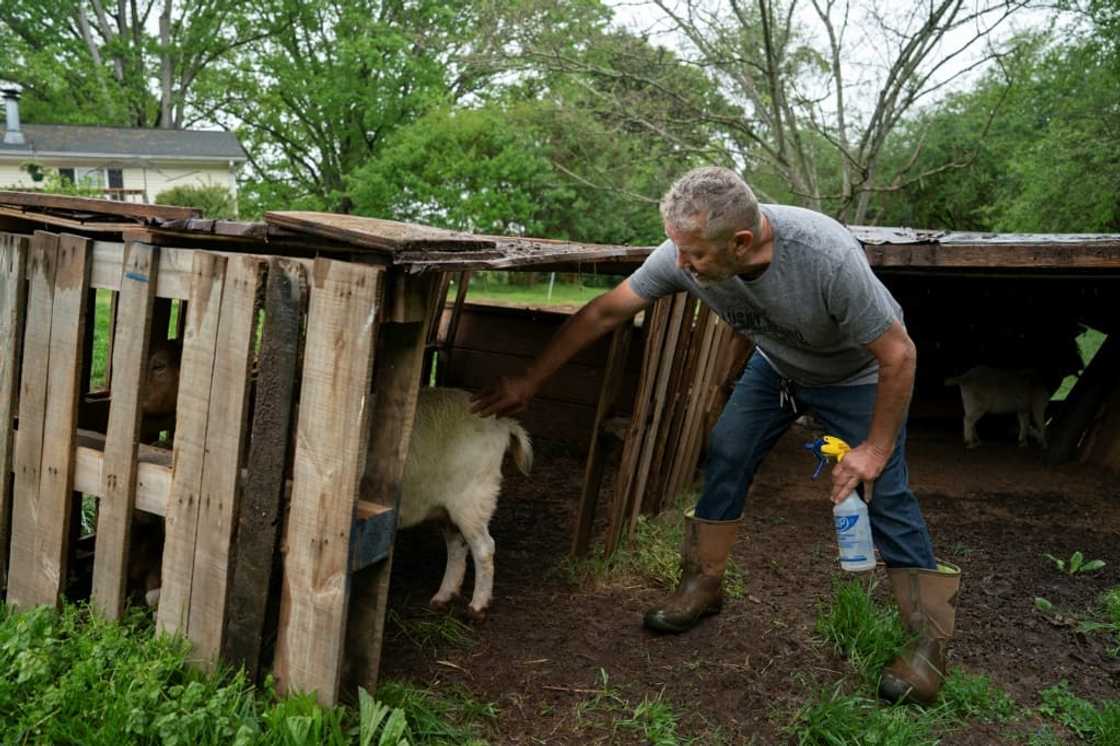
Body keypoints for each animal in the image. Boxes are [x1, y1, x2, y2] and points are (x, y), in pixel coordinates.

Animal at [396, 385, 530, 618]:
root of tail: (501, 423)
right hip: (445, 504)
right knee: (457, 545)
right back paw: (444, 596)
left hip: (473, 498)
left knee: (484, 548)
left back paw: (478, 606)